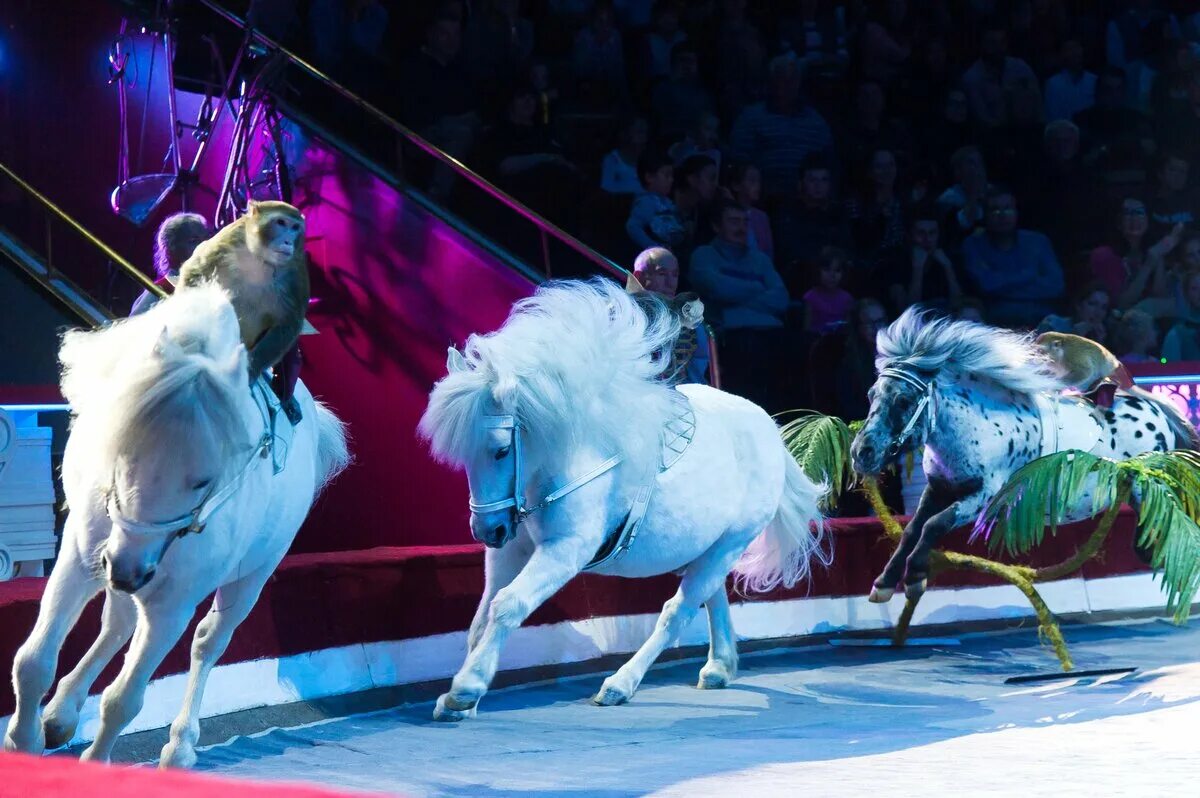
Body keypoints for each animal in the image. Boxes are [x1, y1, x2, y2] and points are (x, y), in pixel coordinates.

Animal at [4, 284, 350, 768]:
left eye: (203, 479)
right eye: (122, 452)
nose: (127, 568)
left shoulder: (173, 603)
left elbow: (124, 700)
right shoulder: (78, 558)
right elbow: (33, 662)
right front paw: (23, 741)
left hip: (251, 576)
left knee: (207, 642)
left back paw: (181, 745)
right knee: (117, 622)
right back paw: (60, 714)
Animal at [177, 199, 312, 422]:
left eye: (295, 228)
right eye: (280, 222)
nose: (288, 242)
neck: (260, 258)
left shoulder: (295, 274)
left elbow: (288, 325)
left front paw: (250, 370)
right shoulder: (227, 240)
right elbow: (196, 269)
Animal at [417, 278, 830, 715]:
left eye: (500, 450)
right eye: (465, 456)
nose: (487, 530)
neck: (561, 457)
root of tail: (768, 426)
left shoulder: (567, 548)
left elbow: (509, 604)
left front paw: (466, 689)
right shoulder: (510, 551)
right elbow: (482, 617)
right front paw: (460, 698)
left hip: (731, 542)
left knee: (678, 611)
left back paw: (620, 683)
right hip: (708, 547)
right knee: (712, 596)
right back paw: (719, 667)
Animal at [849, 307, 1195, 600]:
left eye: (904, 401)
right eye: (870, 394)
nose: (862, 452)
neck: (978, 425)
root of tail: (1154, 409)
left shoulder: (985, 497)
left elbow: (934, 525)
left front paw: (914, 577)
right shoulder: (938, 488)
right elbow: (912, 529)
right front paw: (885, 582)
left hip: (1146, 486)